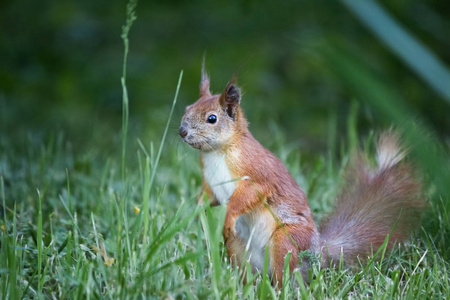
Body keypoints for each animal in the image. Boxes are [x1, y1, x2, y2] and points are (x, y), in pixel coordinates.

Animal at [178, 65, 426, 286]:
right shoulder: (210, 182)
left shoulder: (256, 172)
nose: (182, 131)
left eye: (212, 118)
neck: (217, 153)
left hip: (285, 241)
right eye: (187, 108)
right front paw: (196, 212)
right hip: (237, 247)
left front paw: (228, 215)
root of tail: (318, 252)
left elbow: (248, 195)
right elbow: (207, 196)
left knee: (285, 276)